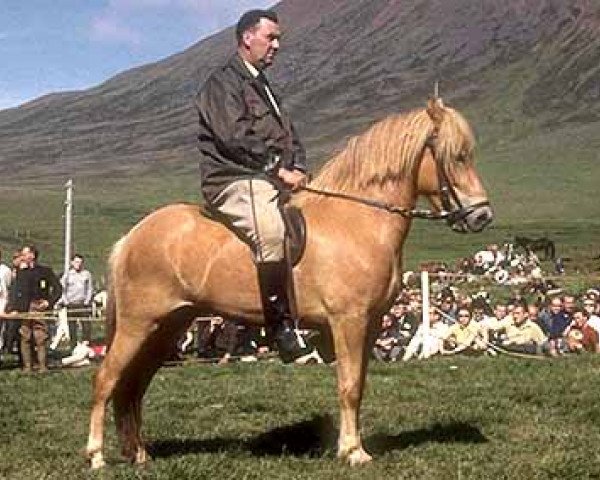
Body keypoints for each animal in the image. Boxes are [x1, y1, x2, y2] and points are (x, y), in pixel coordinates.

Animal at [86, 97, 494, 468]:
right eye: (457, 156)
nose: (482, 216)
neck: (357, 220)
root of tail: (132, 236)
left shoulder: (371, 323)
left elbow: (359, 384)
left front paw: (351, 446)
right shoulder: (348, 322)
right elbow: (349, 386)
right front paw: (353, 452)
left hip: (168, 327)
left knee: (133, 386)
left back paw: (139, 453)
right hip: (138, 324)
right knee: (106, 380)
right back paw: (96, 456)